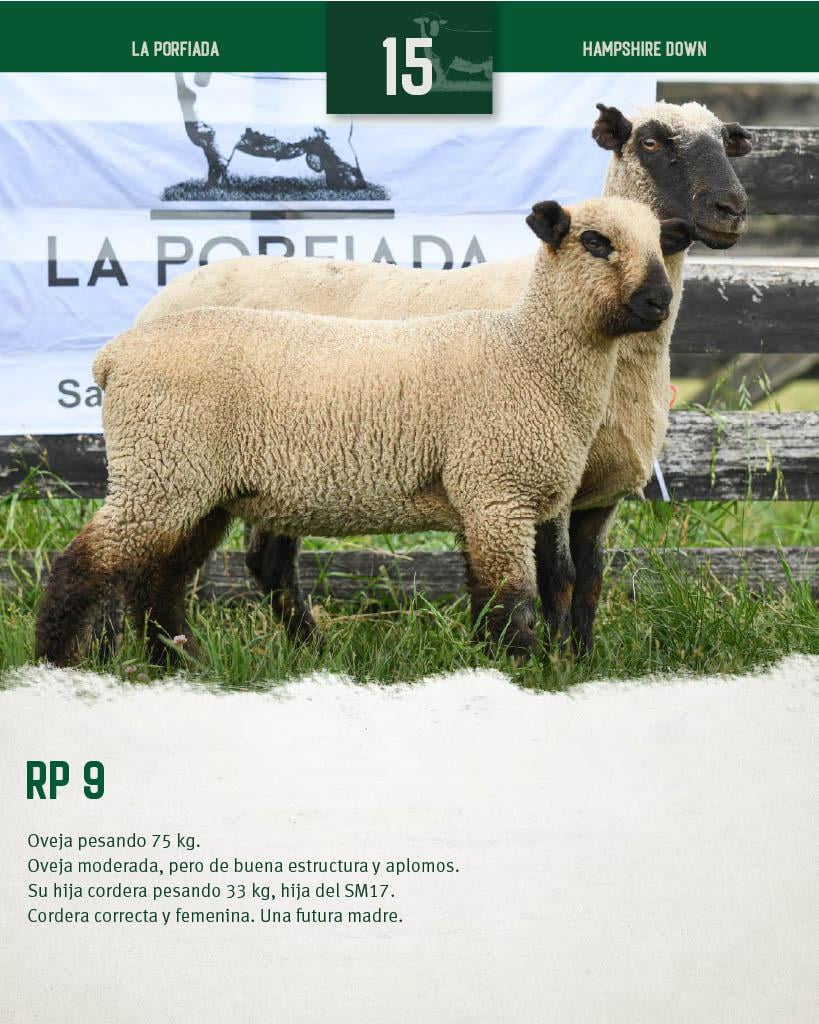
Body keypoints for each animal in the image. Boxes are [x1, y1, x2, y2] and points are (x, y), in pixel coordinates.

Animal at [35, 198, 692, 668]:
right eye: (595, 241)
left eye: (662, 244)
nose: (659, 300)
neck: (528, 351)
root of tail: (116, 355)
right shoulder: (495, 492)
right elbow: (511, 598)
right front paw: (527, 669)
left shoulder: (531, 499)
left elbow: (541, 588)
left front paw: (520, 665)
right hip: (159, 467)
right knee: (86, 564)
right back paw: (58, 662)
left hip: (195, 484)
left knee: (160, 580)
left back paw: (184, 664)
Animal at [136, 99, 752, 655]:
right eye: (650, 142)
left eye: (727, 142)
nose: (733, 208)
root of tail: (156, 305)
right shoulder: (536, 484)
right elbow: (558, 579)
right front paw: (553, 662)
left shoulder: (597, 496)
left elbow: (590, 584)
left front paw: (581, 660)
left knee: (267, 560)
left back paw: (311, 648)